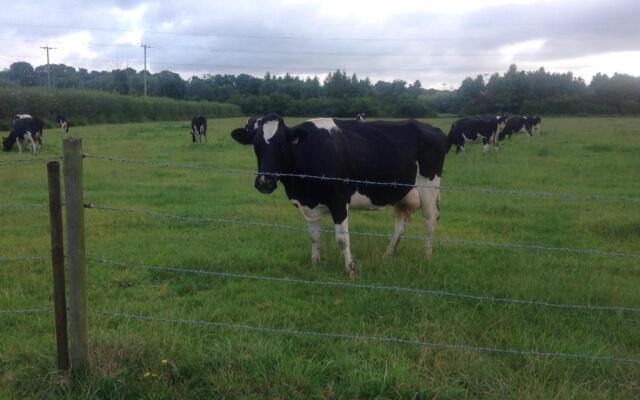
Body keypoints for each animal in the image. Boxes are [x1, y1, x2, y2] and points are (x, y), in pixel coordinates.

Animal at [232, 112, 448, 278]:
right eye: (256, 145)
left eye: (283, 145)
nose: (265, 182)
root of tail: (432, 128)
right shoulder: (310, 203)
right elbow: (313, 236)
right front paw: (315, 263)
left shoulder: (339, 200)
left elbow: (342, 239)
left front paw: (351, 271)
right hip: (403, 195)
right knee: (400, 225)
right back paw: (388, 256)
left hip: (429, 188)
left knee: (430, 221)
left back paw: (426, 257)